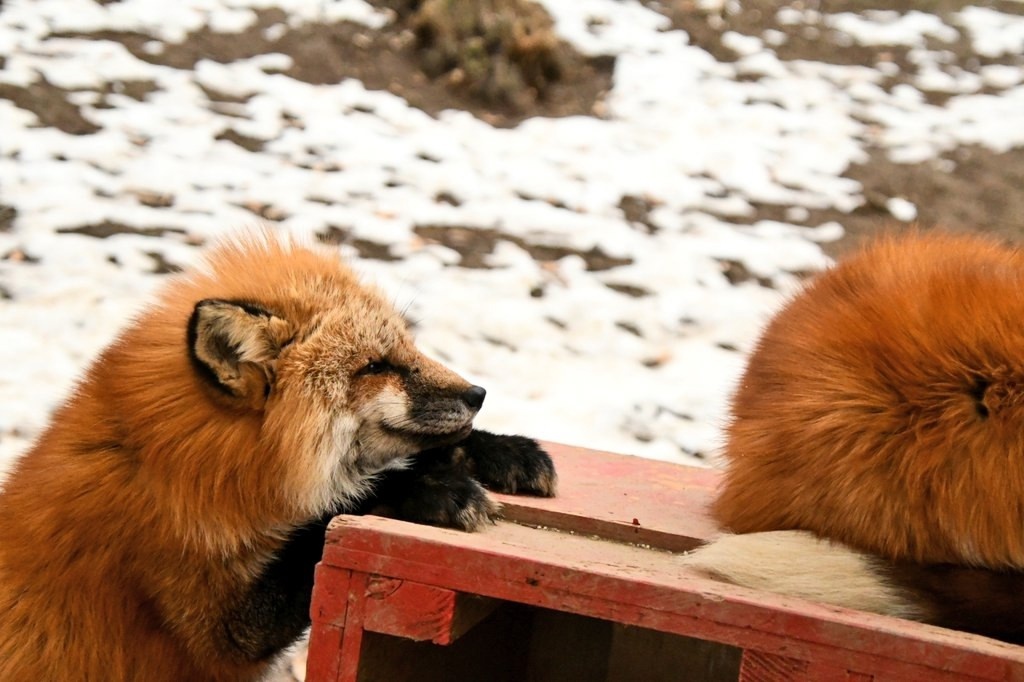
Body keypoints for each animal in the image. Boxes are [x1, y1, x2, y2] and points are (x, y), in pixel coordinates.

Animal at [0, 232, 552, 675]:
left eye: (406, 347)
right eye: (375, 366)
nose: (478, 394)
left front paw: (502, 451)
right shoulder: (219, 629)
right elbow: (330, 518)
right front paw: (426, 489)